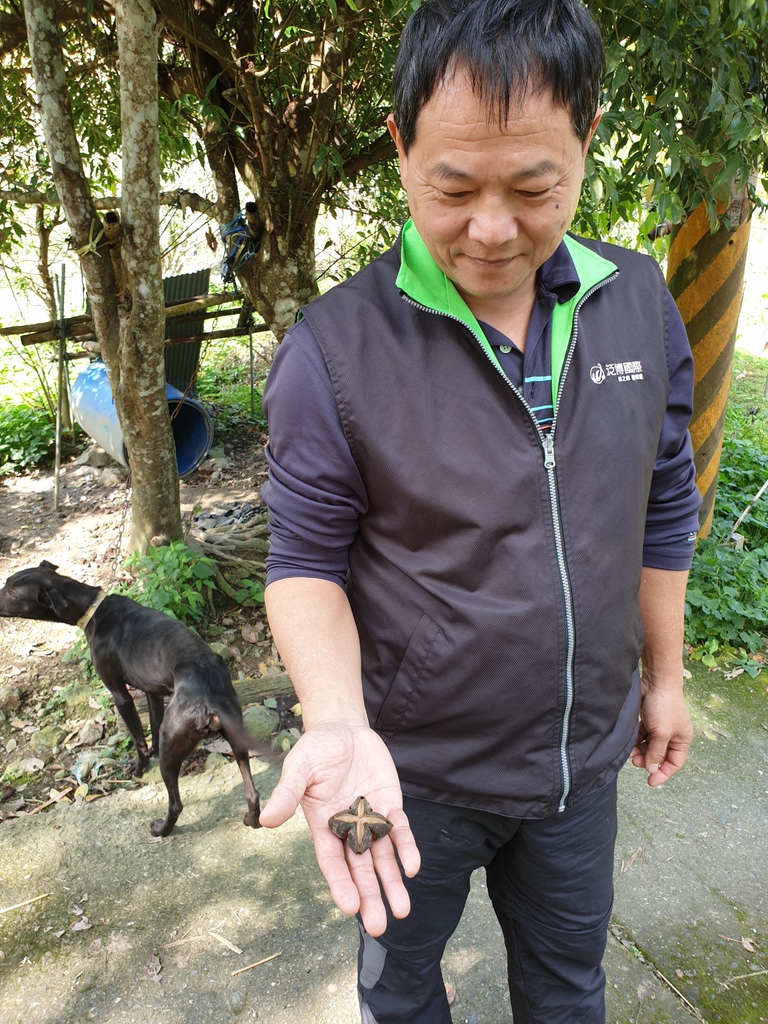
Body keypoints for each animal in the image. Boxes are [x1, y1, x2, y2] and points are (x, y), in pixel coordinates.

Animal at [0, 565, 274, 835]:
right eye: (8, 581)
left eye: (13, 593)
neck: (93, 608)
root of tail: (210, 697)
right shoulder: (153, 693)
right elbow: (152, 725)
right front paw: (150, 752)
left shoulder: (121, 696)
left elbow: (138, 739)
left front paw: (138, 767)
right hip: (236, 739)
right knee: (252, 793)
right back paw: (251, 819)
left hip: (173, 745)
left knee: (176, 803)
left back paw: (161, 829)